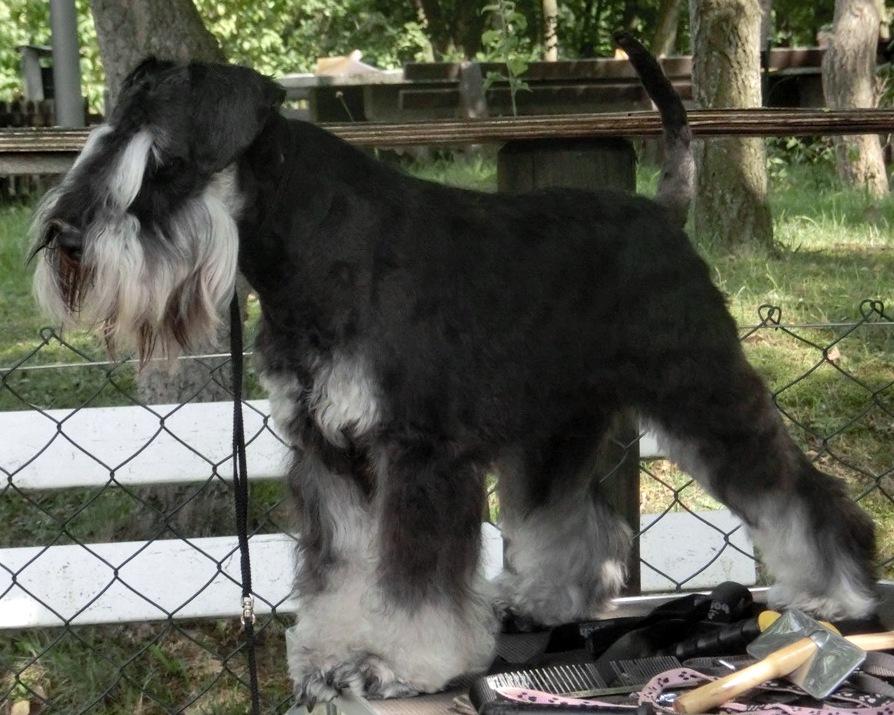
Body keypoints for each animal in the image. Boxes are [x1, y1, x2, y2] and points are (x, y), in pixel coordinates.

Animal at [30, 34, 876, 706]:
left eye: (162, 163)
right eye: (101, 143)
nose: (65, 240)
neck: (315, 248)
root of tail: (663, 210)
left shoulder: (420, 453)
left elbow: (413, 583)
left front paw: (396, 666)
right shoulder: (328, 455)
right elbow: (342, 573)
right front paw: (330, 654)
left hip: (700, 386)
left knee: (794, 488)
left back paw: (835, 589)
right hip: (556, 428)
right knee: (573, 520)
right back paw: (543, 599)